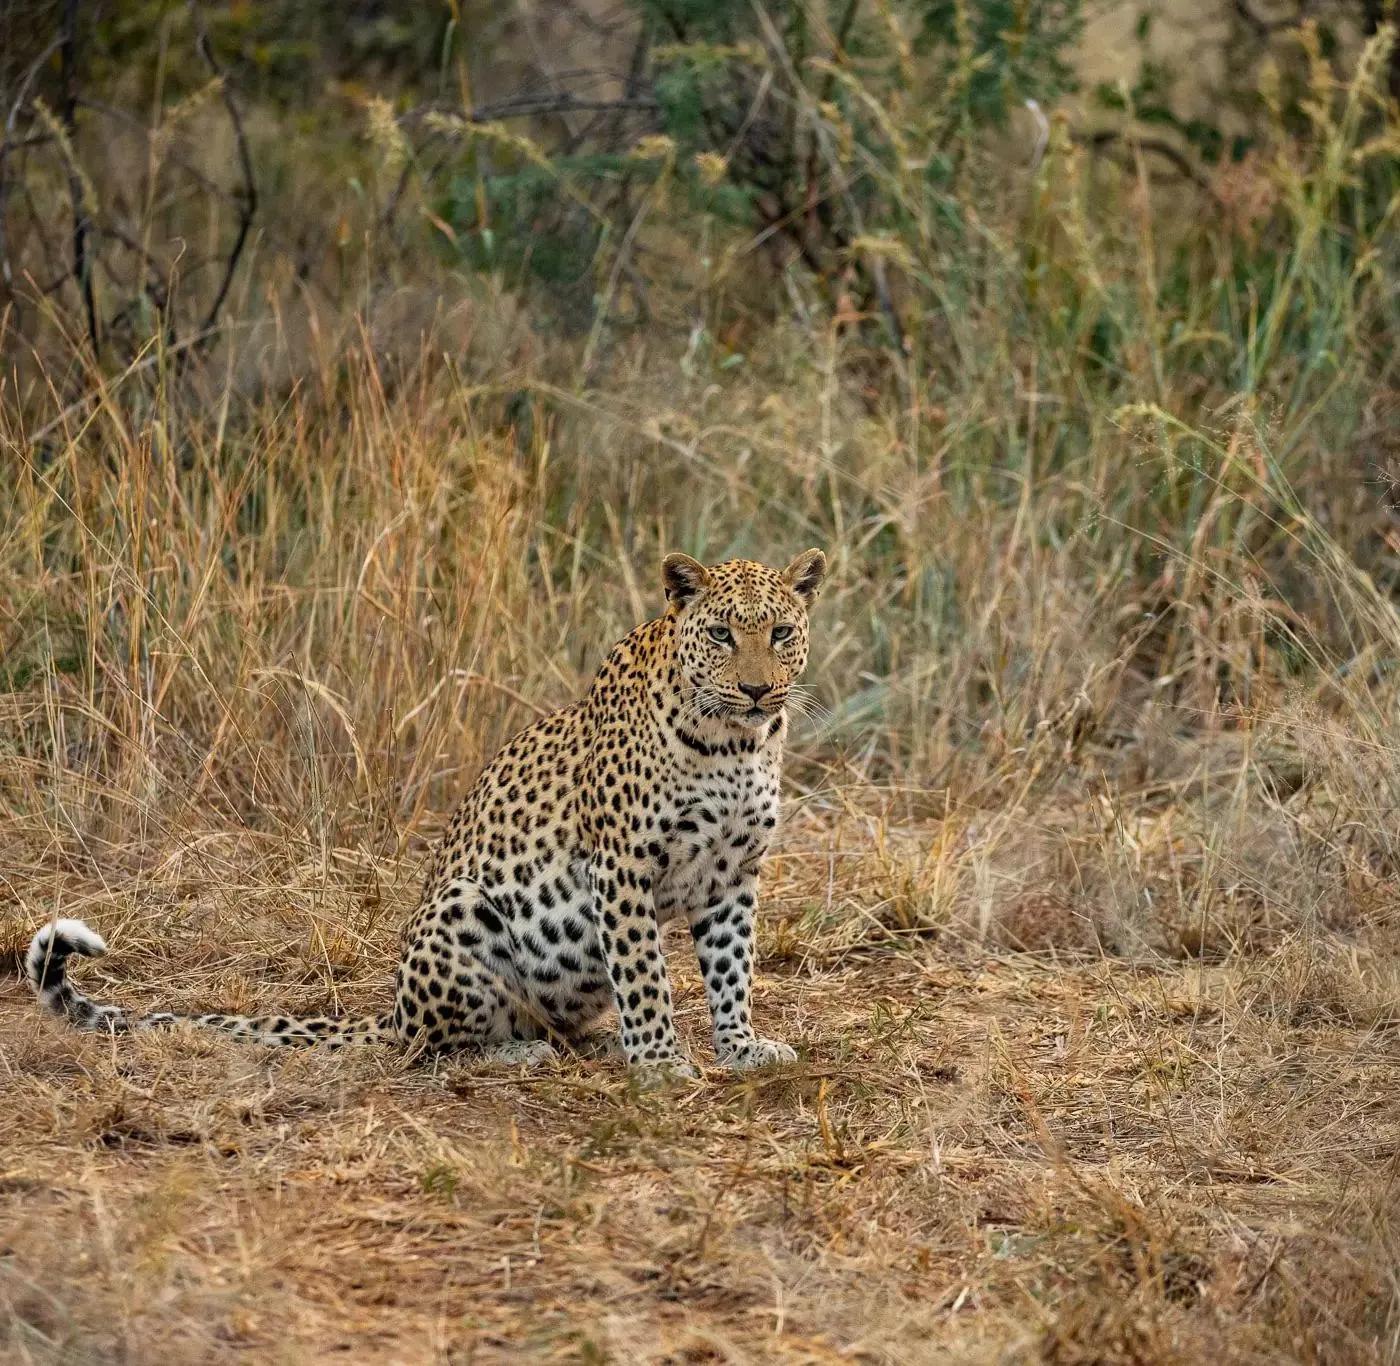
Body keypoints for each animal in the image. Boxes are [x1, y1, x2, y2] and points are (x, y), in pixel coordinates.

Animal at [26, 549, 828, 1078]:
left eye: (781, 633)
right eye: (721, 634)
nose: (758, 689)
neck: (736, 743)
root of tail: (393, 1010)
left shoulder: (734, 873)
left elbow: (731, 968)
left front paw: (742, 1047)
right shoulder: (622, 867)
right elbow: (644, 973)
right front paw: (661, 1061)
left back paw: (589, 1041)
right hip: (463, 912)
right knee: (440, 1045)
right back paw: (521, 1051)